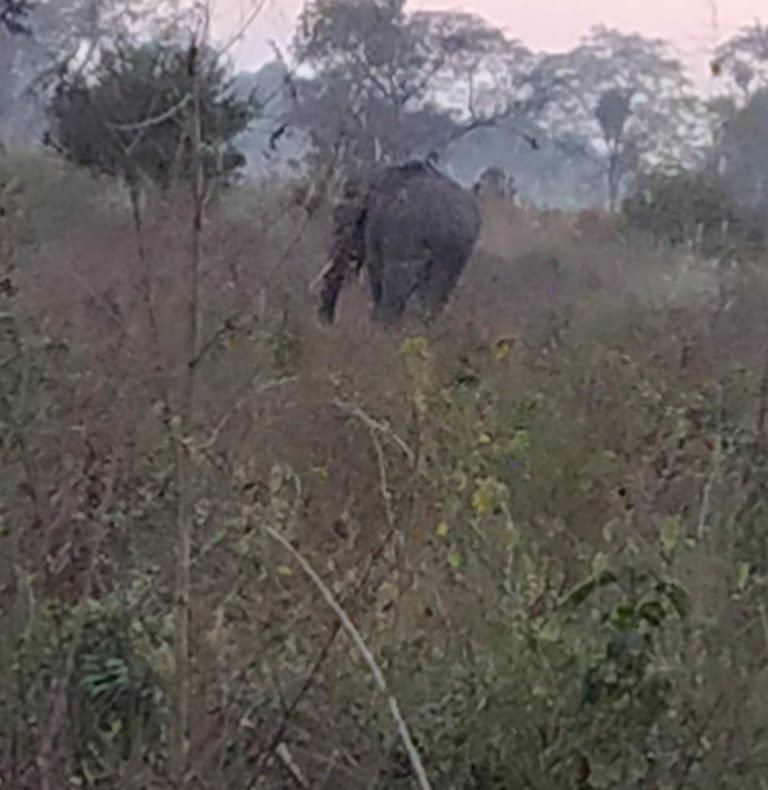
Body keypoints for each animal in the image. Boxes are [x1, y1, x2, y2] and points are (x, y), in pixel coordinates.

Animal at [310, 159, 480, 326]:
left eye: (339, 220)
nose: (326, 321)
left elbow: (376, 272)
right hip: (456, 251)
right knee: (437, 293)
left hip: (407, 238)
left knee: (397, 287)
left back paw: (385, 329)